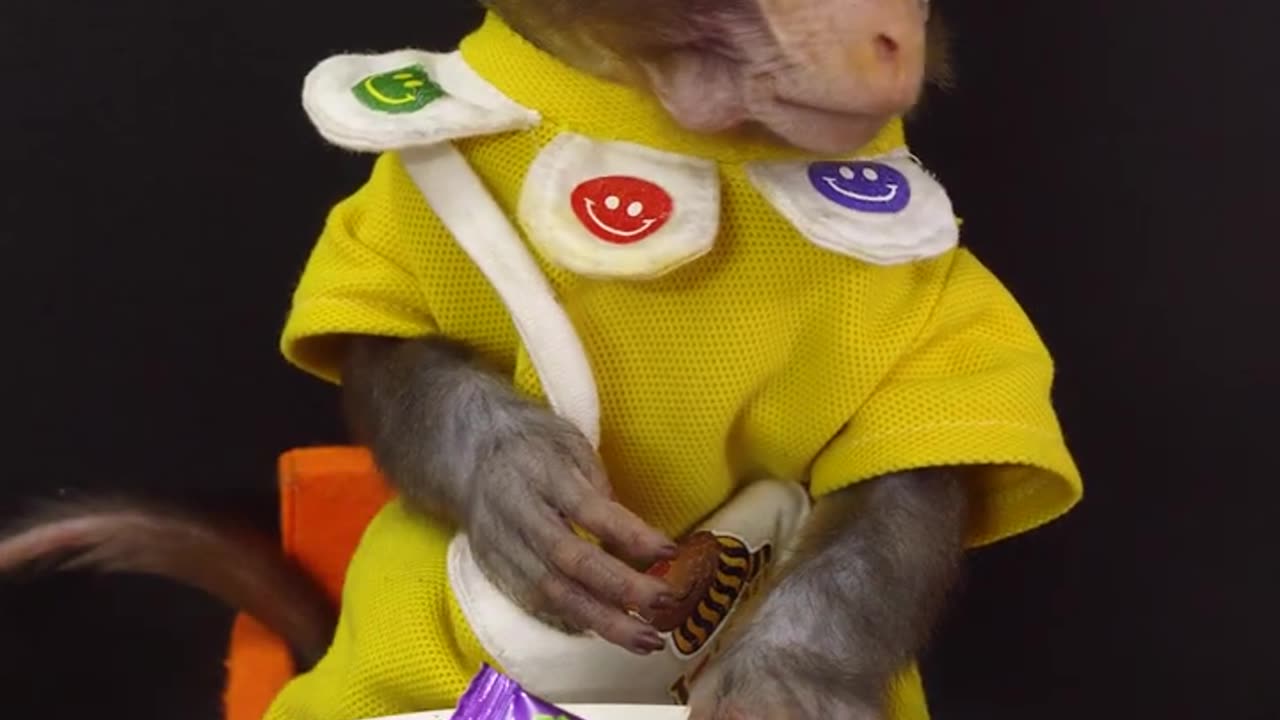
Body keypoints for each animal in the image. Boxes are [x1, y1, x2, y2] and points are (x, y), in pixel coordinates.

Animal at [0, 1, 1083, 719]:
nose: (890, 38)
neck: (660, 128)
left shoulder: (923, 300)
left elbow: (906, 484)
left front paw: (786, 681)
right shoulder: (403, 203)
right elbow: (388, 357)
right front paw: (514, 481)